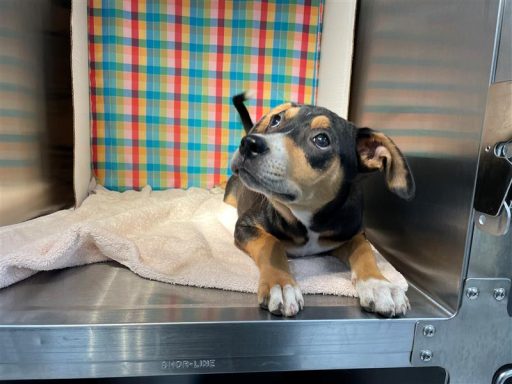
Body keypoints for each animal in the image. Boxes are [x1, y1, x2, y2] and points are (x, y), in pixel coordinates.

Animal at [225, 91, 416, 316]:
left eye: (322, 139)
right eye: (276, 120)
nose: (248, 143)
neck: (306, 215)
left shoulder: (352, 233)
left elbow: (365, 250)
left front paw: (379, 285)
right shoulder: (245, 225)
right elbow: (272, 242)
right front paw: (280, 284)